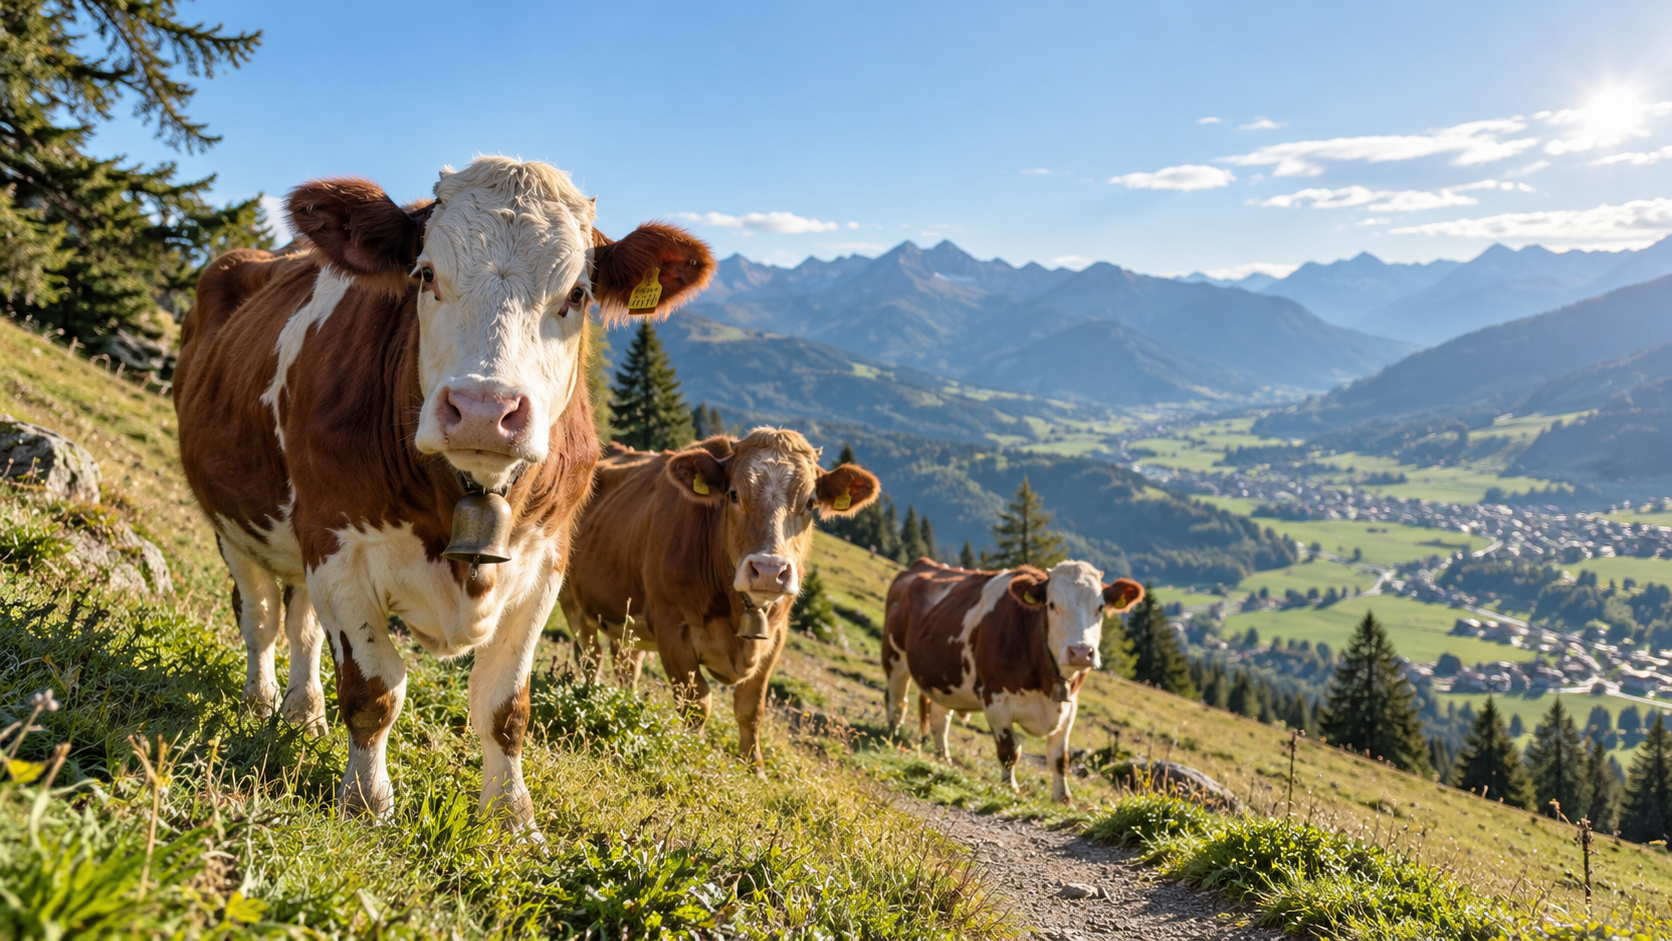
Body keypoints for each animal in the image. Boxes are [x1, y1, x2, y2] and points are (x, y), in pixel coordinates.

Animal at [174, 156, 714, 830]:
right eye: (426, 274)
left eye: (578, 294)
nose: (484, 410)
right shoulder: (336, 542)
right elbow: (375, 689)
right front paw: (367, 801)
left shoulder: (545, 564)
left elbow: (505, 707)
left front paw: (513, 818)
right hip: (234, 524)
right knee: (263, 619)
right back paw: (261, 699)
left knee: (302, 628)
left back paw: (303, 712)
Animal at [559, 430, 879, 767]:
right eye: (733, 494)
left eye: (810, 502)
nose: (768, 570)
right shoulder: (672, 630)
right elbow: (696, 705)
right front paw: (688, 752)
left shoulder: (776, 636)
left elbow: (751, 708)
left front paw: (754, 766)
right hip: (570, 598)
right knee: (591, 656)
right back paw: (590, 695)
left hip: (628, 614)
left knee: (625, 663)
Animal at [882, 559, 1143, 804]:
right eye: (1051, 605)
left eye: (1099, 607)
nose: (1080, 652)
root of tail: (922, 564)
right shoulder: (995, 699)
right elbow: (1010, 751)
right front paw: (1010, 788)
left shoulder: (1071, 705)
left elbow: (1060, 758)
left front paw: (1063, 798)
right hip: (894, 657)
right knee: (897, 703)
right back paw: (892, 739)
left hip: (943, 677)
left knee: (940, 718)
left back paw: (943, 758)